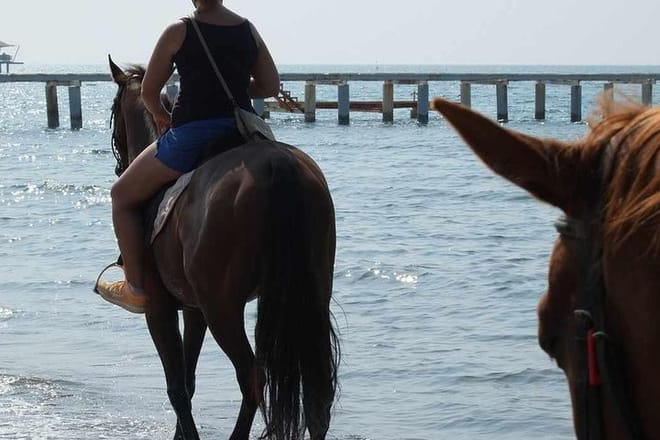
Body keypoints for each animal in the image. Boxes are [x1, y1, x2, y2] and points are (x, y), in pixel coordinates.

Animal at [106, 56, 340, 440]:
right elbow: (188, 380)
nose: (119, 166)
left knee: (252, 378)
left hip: (223, 309)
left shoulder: (161, 309)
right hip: (310, 295)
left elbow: (177, 387)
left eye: (113, 114)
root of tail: (278, 165)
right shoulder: (193, 309)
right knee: (318, 389)